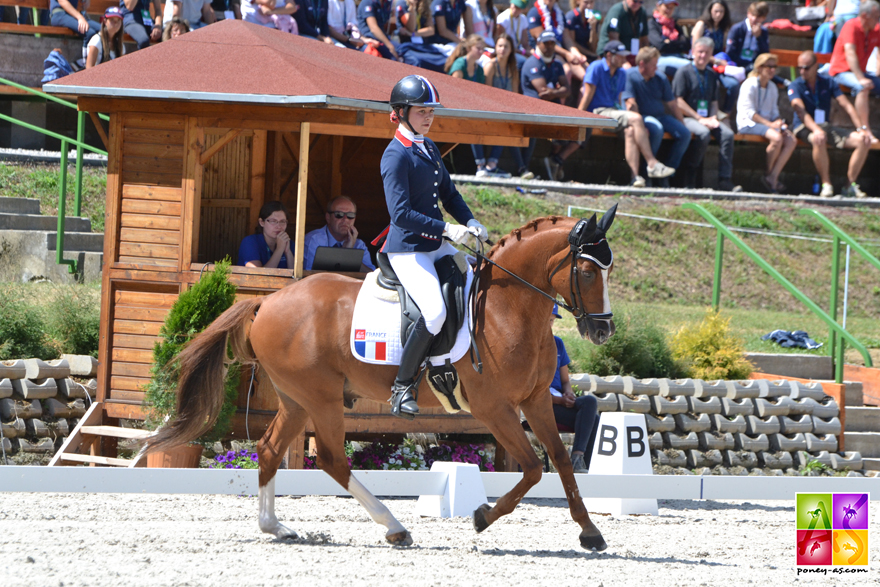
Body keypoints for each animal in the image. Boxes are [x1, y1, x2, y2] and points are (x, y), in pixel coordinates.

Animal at [148, 207, 620, 552]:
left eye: (608, 271)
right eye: (588, 272)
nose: (603, 331)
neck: (509, 308)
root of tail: (267, 301)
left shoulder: (536, 400)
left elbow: (559, 461)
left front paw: (590, 532)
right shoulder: (494, 409)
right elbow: (533, 468)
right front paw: (482, 516)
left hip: (296, 398)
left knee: (268, 449)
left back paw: (275, 527)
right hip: (321, 398)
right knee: (333, 459)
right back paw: (394, 528)